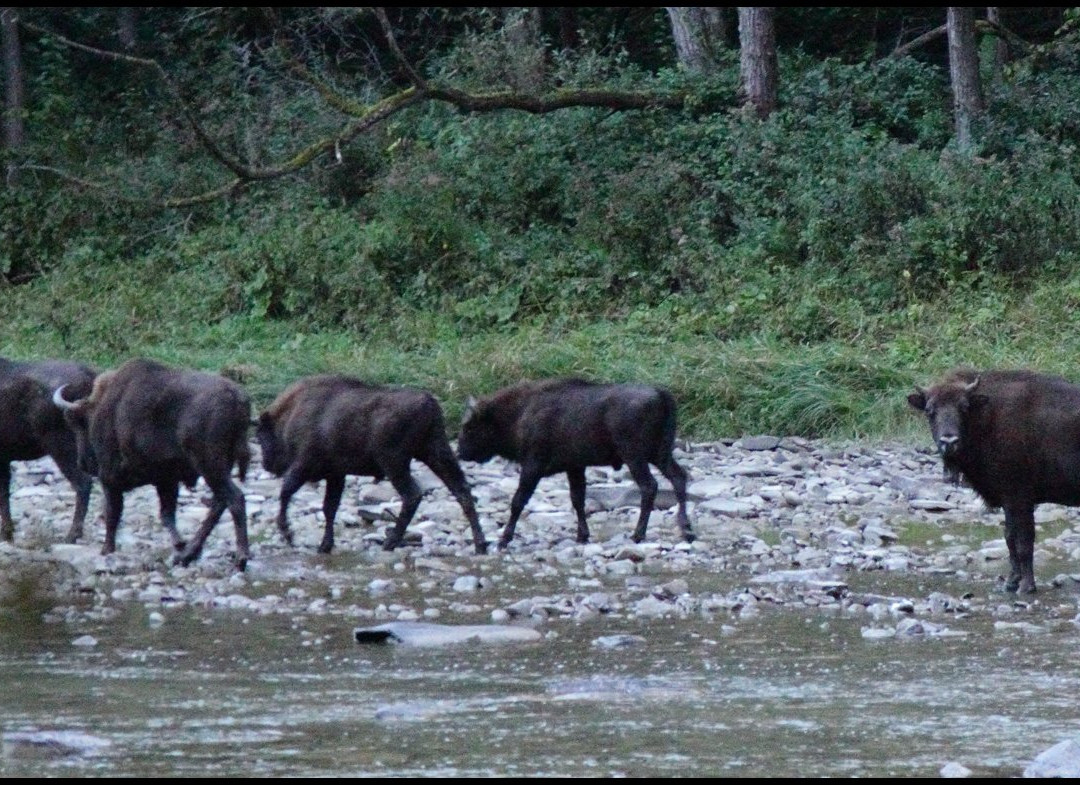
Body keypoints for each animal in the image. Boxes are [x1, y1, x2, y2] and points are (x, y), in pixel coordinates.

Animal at [53, 358, 252, 570]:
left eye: (78, 425)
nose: (83, 463)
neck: (102, 407)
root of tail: (237, 397)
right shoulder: (166, 481)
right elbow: (166, 514)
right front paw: (179, 544)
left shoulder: (110, 478)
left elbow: (113, 513)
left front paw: (107, 549)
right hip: (219, 469)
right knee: (219, 503)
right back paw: (189, 554)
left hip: (210, 467)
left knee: (234, 498)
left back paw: (240, 558)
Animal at [254, 375, 488, 557]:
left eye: (261, 435)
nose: (266, 464)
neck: (291, 413)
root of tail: (428, 403)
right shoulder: (336, 475)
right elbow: (329, 508)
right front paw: (325, 545)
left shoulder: (304, 465)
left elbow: (287, 492)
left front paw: (288, 534)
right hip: (435, 453)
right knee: (462, 491)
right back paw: (480, 545)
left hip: (395, 463)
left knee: (412, 495)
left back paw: (390, 542)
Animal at [453, 377, 691, 550]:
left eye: (469, 427)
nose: (460, 452)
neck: (519, 413)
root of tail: (662, 395)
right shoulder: (575, 467)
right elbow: (578, 500)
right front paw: (582, 536)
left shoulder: (533, 465)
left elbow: (518, 501)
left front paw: (504, 540)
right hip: (660, 455)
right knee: (679, 477)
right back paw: (687, 530)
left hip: (635, 456)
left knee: (649, 486)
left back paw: (638, 535)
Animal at [911, 369, 1080, 596]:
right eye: (930, 410)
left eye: (964, 407)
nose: (949, 441)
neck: (988, 416)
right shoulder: (1008, 501)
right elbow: (1009, 538)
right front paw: (1010, 583)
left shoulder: (1019, 499)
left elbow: (1024, 541)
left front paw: (1026, 586)